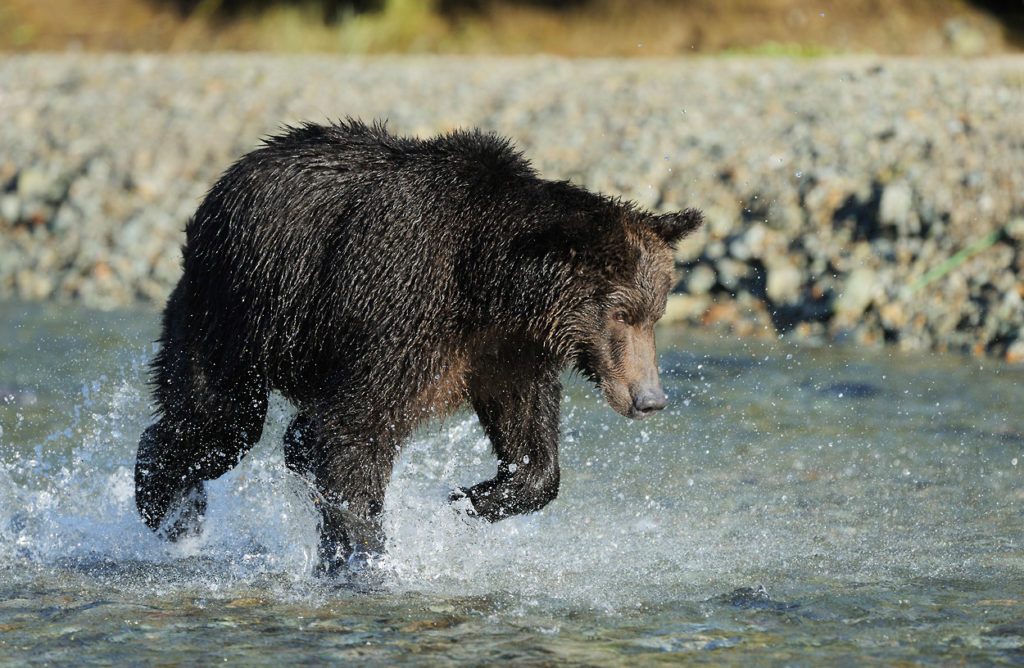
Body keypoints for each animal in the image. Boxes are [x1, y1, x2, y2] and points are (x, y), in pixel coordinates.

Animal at [136, 119, 704, 573]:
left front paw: (467, 499)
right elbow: (354, 436)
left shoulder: (503, 351)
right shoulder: (402, 309)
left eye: (655, 314)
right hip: (234, 305)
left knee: (280, 430)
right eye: (620, 314)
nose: (649, 398)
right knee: (218, 419)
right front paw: (362, 557)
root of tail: (226, 180)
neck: (488, 282)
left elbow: (529, 437)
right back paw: (167, 506)